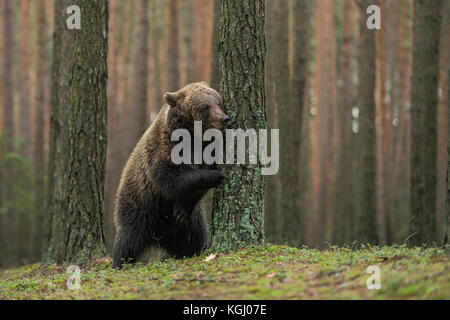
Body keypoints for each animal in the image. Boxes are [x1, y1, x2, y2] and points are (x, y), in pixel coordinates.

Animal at [112, 80, 229, 268]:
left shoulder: (205, 152)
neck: (192, 137)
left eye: (218, 102)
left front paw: (181, 211)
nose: (224, 119)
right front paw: (215, 176)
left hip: (189, 224)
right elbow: (171, 176)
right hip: (139, 206)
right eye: (205, 106)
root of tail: (159, 236)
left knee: (194, 238)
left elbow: (191, 194)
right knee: (128, 239)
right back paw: (120, 262)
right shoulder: (163, 150)